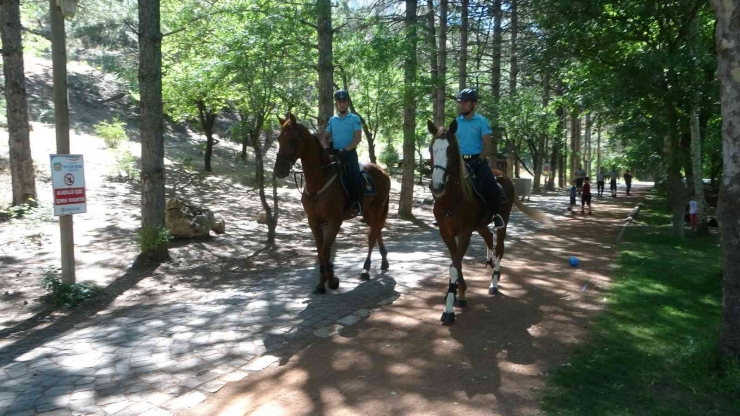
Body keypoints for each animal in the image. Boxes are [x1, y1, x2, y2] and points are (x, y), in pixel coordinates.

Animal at [274, 112, 394, 294]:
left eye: (294, 140)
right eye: (279, 138)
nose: (278, 170)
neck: (318, 181)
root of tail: (383, 171)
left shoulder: (334, 221)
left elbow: (325, 251)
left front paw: (331, 280)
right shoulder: (314, 221)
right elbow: (320, 251)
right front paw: (321, 283)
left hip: (377, 208)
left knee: (372, 236)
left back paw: (366, 269)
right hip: (367, 212)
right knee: (377, 231)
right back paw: (384, 261)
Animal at [428, 118, 548, 324]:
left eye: (450, 150)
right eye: (431, 148)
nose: (437, 186)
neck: (452, 198)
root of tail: (503, 175)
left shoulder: (465, 233)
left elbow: (454, 266)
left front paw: (449, 308)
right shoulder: (447, 233)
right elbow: (456, 263)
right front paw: (460, 293)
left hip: (502, 222)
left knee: (499, 247)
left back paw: (494, 282)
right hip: (481, 225)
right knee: (489, 237)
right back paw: (490, 263)